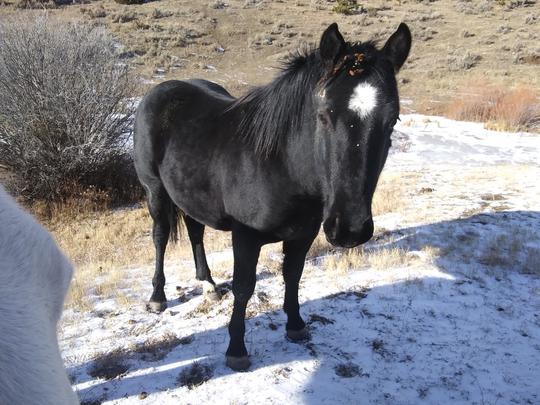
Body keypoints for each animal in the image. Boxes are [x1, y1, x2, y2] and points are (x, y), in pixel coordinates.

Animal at [134, 22, 410, 370]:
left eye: (392, 120)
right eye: (324, 115)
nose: (350, 229)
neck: (281, 166)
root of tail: (158, 91)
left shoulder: (303, 235)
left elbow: (293, 275)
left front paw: (296, 325)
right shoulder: (245, 236)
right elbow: (244, 288)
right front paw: (236, 349)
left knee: (196, 231)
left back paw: (208, 285)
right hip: (154, 191)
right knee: (160, 236)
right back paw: (157, 298)